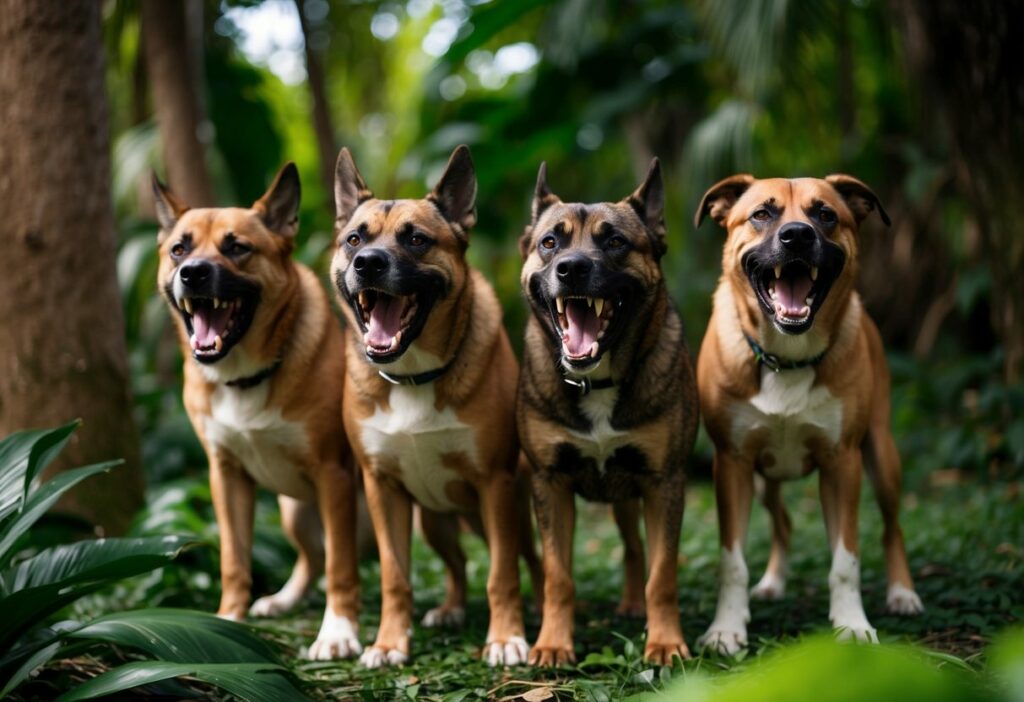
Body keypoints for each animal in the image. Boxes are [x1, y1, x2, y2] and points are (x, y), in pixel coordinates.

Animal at [149, 163, 362, 659]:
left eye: (236, 248)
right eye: (179, 248)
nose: (192, 273)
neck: (245, 376)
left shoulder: (334, 474)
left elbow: (343, 564)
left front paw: (338, 632)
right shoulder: (226, 475)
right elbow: (234, 558)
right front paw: (230, 619)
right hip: (293, 511)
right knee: (311, 557)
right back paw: (284, 599)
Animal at [329, 144, 536, 671]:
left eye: (417, 239)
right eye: (354, 239)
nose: (368, 263)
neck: (412, 374)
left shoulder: (495, 484)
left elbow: (503, 574)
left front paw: (506, 637)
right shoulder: (382, 488)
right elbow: (393, 576)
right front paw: (388, 643)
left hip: (513, 510)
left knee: (535, 563)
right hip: (432, 521)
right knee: (457, 562)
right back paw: (451, 609)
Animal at [516, 162, 700, 667]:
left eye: (615, 241)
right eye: (550, 242)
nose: (572, 268)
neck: (596, 380)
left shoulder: (664, 482)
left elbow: (663, 573)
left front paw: (665, 641)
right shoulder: (549, 483)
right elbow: (558, 576)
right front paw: (553, 643)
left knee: (636, 550)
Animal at [692, 172, 925, 659]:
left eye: (826, 215)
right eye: (762, 213)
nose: (797, 235)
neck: (787, 357)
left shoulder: (843, 462)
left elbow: (846, 558)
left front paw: (853, 624)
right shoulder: (732, 463)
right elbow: (732, 560)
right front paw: (726, 628)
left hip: (882, 454)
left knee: (892, 527)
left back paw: (902, 592)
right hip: (764, 478)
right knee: (783, 522)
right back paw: (772, 583)